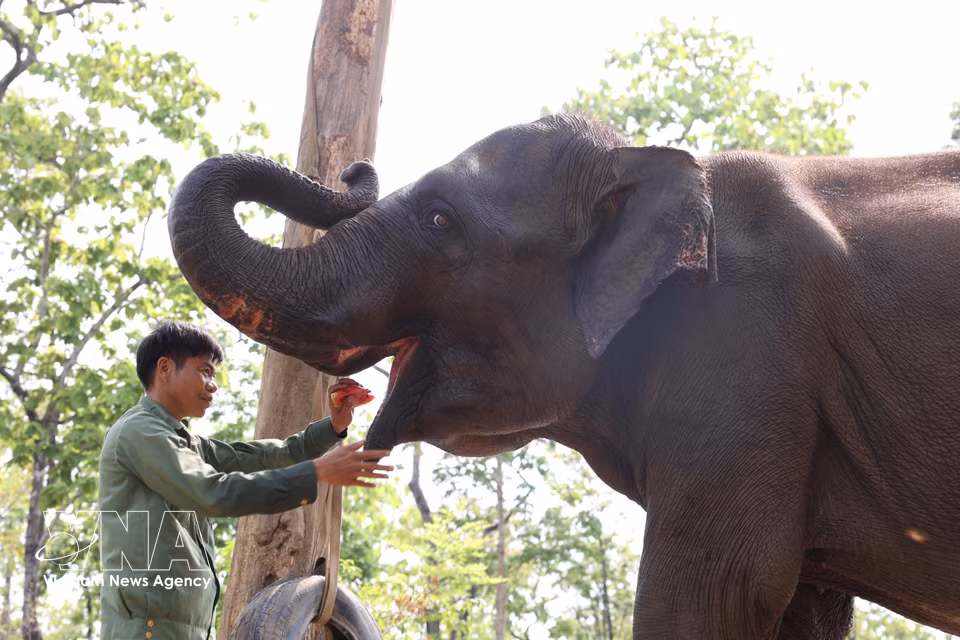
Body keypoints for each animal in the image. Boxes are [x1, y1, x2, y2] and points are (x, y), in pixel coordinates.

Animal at [167, 113, 960, 639]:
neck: (653, 164)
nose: (353, 170)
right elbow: (798, 604)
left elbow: (728, 585)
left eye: (439, 219)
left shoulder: (747, 352)